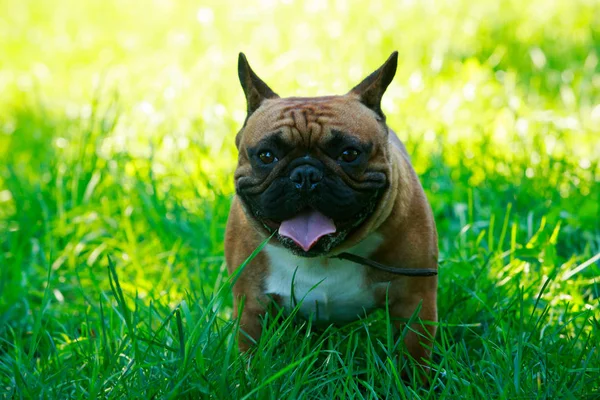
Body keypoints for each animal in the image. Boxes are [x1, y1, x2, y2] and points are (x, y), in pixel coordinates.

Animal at [223, 50, 438, 372]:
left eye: (349, 154)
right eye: (266, 155)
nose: (305, 174)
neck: (323, 257)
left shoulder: (415, 301)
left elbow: (413, 357)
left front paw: (413, 381)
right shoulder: (251, 305)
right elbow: (252, 355)